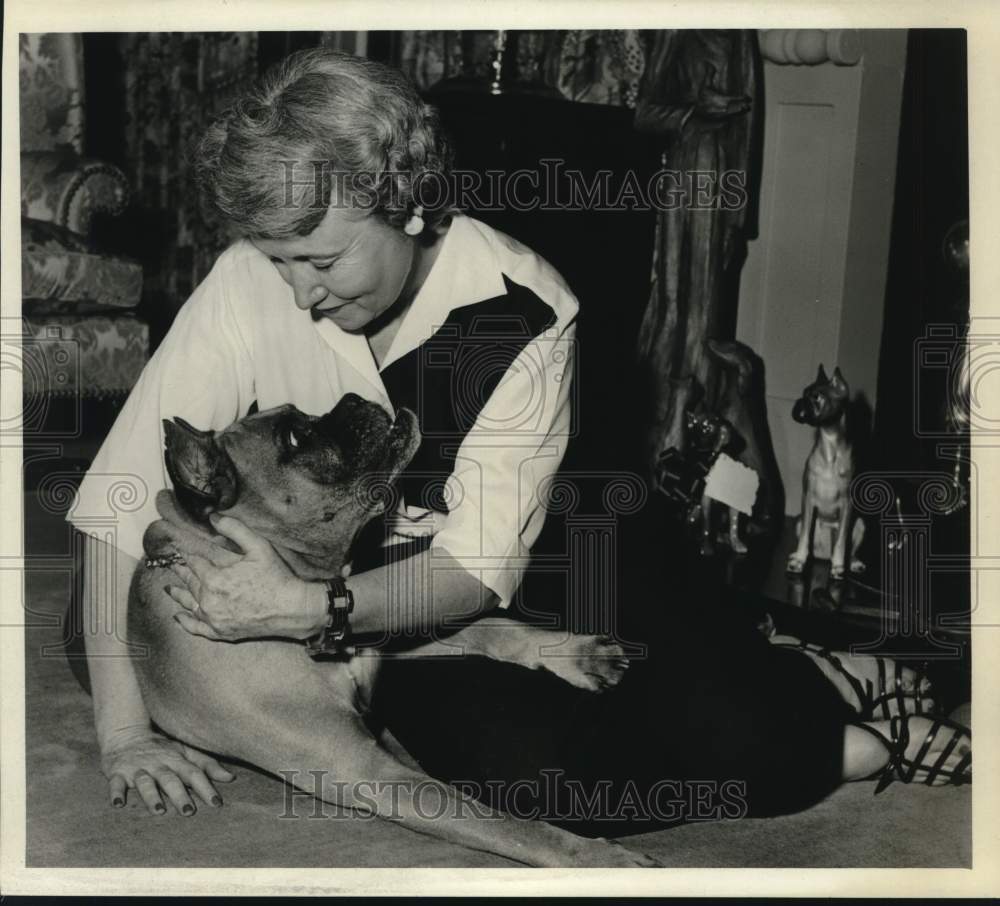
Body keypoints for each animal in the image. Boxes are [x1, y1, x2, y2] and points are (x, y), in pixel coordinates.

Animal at [127, 392, 656, 864]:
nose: (352, 399)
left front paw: (575, 654)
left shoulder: (378, 631)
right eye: (294, 438)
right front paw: (599, 859)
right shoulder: (370, 769)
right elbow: (503, 823)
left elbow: (491, 627)